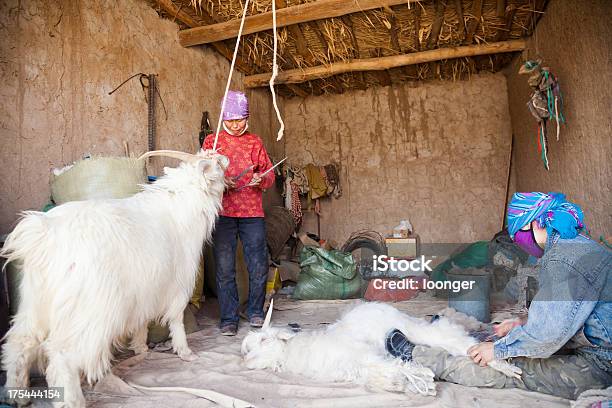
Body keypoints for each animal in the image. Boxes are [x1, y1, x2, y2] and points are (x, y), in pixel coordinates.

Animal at [1, 150, 228, 408]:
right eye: (216, 162)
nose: (226, 158)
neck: (181, 204)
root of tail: (45, 233)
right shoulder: (178, 283)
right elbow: (176, 318)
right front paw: (185, 353)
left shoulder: (144, 290)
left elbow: (142, 321)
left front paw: (140, 348)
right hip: (92, 311)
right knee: (62, 354)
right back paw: (72, 401)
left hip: (35, 302)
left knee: (20, 342)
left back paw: (16, 395)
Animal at [243, 300, 520, 396]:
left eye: (264, 340)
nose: (246, 359)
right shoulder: (358, 367)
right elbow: (387, 374)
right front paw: (412, 384)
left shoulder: (365, 356)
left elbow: (397, 366)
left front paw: (422, 380)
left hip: (414, 329)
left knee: (456, 339)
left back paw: (504, 365)